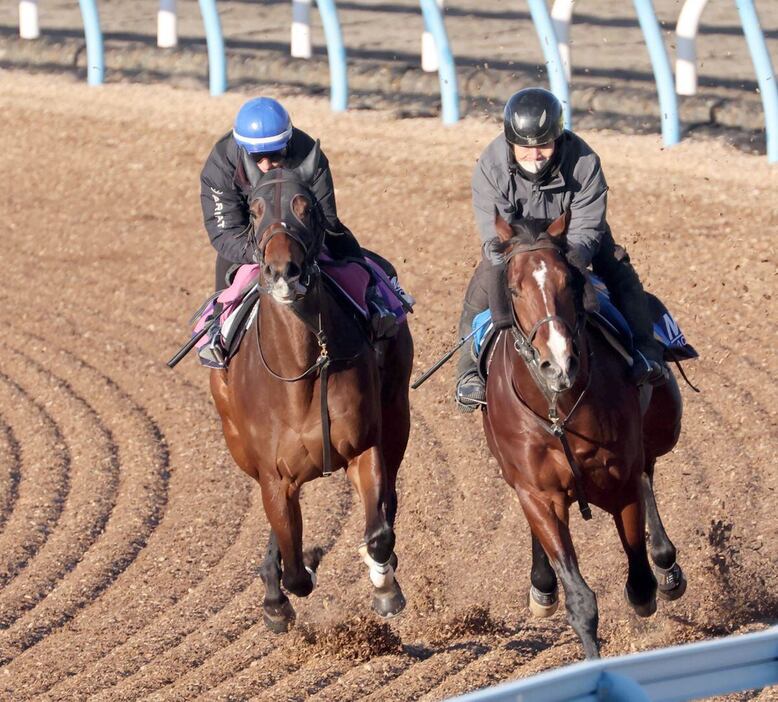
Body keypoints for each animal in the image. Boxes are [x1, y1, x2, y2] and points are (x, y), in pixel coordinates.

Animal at [206, 143, 412, 632]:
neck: (302, 369)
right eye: (255, 210)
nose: (285, 272)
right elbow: (296, 571)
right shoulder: (274, 477)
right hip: (239, 446)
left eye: (307, 207)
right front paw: (288, 582)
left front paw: (384, 586)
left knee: (390, 503)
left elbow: (377, 533)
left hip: (398, 412)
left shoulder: (363, 447)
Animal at [482, 213, 688, 660]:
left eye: (569, 282)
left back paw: (667, 564)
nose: (559, 362)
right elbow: (580, 598)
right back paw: (543, 587)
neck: (559, 411)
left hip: (662, 426)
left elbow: (640, 584)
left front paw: (656, 579)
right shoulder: (538, 493)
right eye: (513, 288)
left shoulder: (619, 480)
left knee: (649, 471)